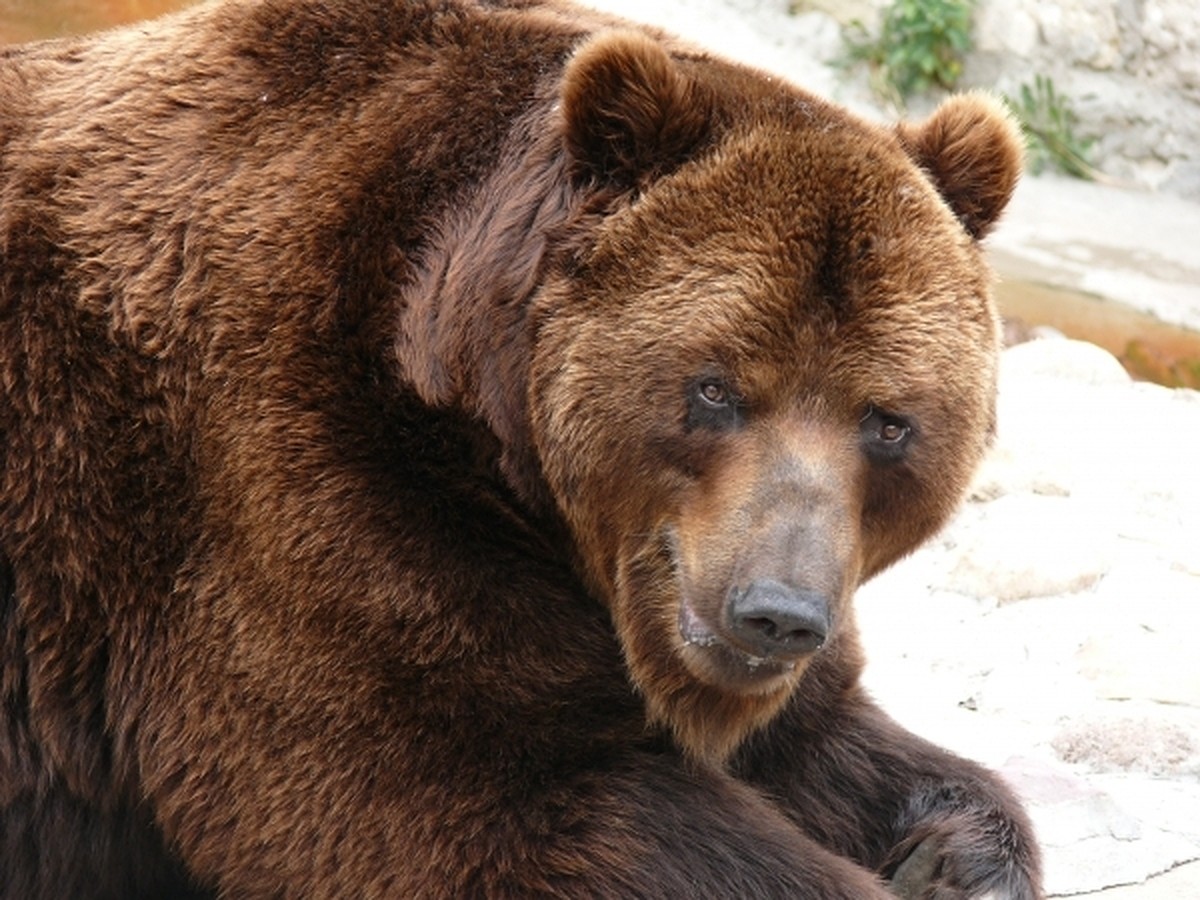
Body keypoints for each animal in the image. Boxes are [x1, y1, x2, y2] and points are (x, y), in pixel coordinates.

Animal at [0, 0, 1041, 897]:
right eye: (716, 386)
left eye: (887, 421)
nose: (775, 612)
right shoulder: (286, 502)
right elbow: (476, 802)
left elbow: (831, 738)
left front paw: (955, 856)